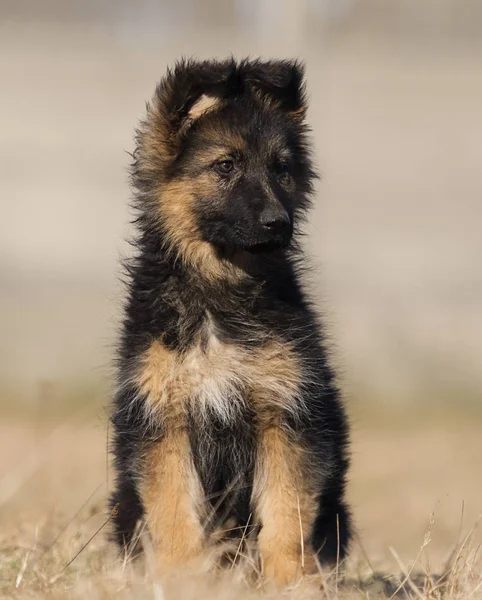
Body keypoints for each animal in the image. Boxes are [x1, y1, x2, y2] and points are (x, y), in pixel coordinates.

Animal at [110, 57, 350, 584]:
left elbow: (286, 511)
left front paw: (289, 582)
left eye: (282, 169)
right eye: (226, 165)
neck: (223, 285)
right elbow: (174, 510)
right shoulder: (163, 417)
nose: (280, 224)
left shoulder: (287, 413)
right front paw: (180, 579)